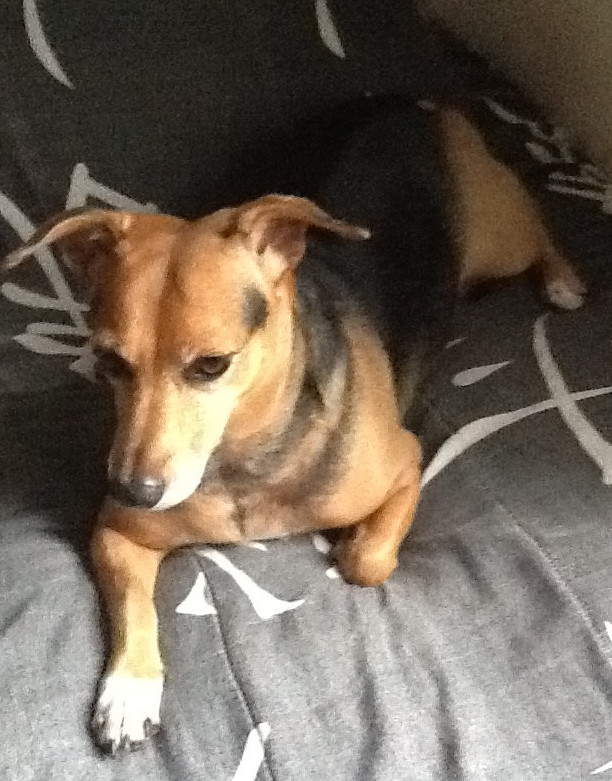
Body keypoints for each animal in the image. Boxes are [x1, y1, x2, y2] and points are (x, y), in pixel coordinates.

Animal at [5, 94, 588, 752]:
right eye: (108, 361)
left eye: (212, 365)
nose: (132, 489)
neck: (243, 459)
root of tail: (412, 101)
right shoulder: (116, 532)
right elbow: (132, 606)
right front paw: (130, 688)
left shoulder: (406, 464)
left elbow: (367, 563)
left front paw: (353, 545)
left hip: (497, 235)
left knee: (535, 222)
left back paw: (564, 280)